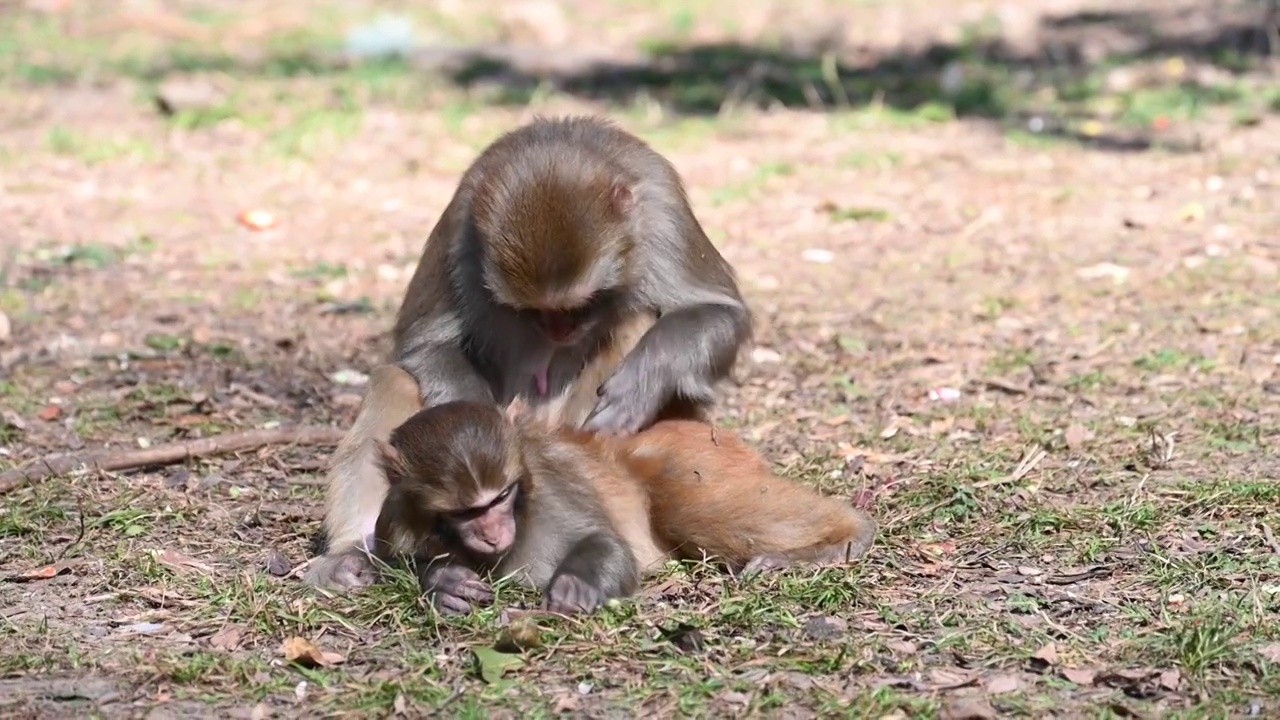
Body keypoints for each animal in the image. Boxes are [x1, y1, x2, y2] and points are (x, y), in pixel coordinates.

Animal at [304, 116, 752, 589]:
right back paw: (351, 553)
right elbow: (424, 341)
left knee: (640, 319)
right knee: (396, 379)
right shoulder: (459, 227)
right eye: (532, 311)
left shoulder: (662, 212)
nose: (560, 329)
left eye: (582, 305)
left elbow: (719, 312)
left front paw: (636, 389)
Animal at [373, 394, 880, 614]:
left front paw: (574, 587)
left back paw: (845, 536)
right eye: (466, 511)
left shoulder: (552, 485)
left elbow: (608, 542)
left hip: (696, 456)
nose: (493, 532)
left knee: (685, 504)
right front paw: (447, 583)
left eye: (500, 497)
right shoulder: (394, 518)